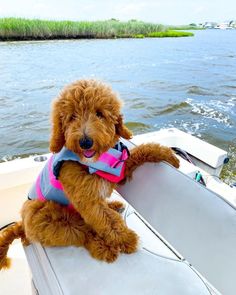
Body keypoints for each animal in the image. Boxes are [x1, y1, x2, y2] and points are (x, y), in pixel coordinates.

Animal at [0, 79, 179, 268]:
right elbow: (108, 221)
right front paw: (127, 239)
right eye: (72, 117)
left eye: (99, 114)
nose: (85, 142)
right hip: (47, 214)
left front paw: (166, 154)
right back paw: (103, 248)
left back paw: (113, 205)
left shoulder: (118, 169)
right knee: (82, 232)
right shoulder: (87, 200)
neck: (93, 162)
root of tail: (22, 226)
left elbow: (140, 152)